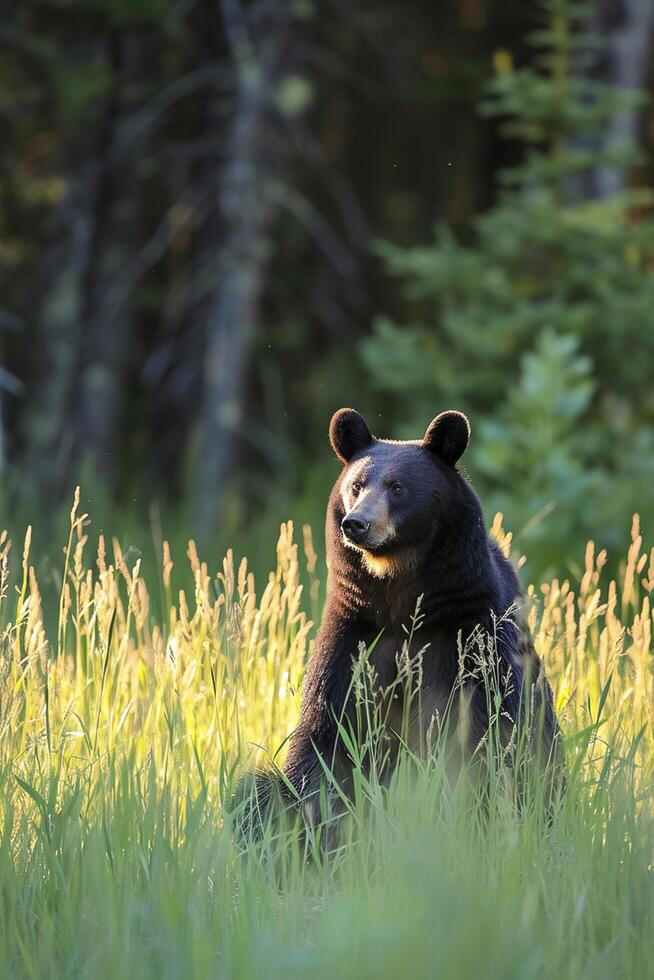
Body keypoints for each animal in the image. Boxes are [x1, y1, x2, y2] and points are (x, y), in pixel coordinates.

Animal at [241, 410, 564, 832]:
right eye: (356, 485)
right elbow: (327, 738)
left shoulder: (471, 635)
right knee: (254, 790)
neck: (400, 599)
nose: (356, 523)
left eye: (397, 487)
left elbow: (486, 730)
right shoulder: (356, 636)